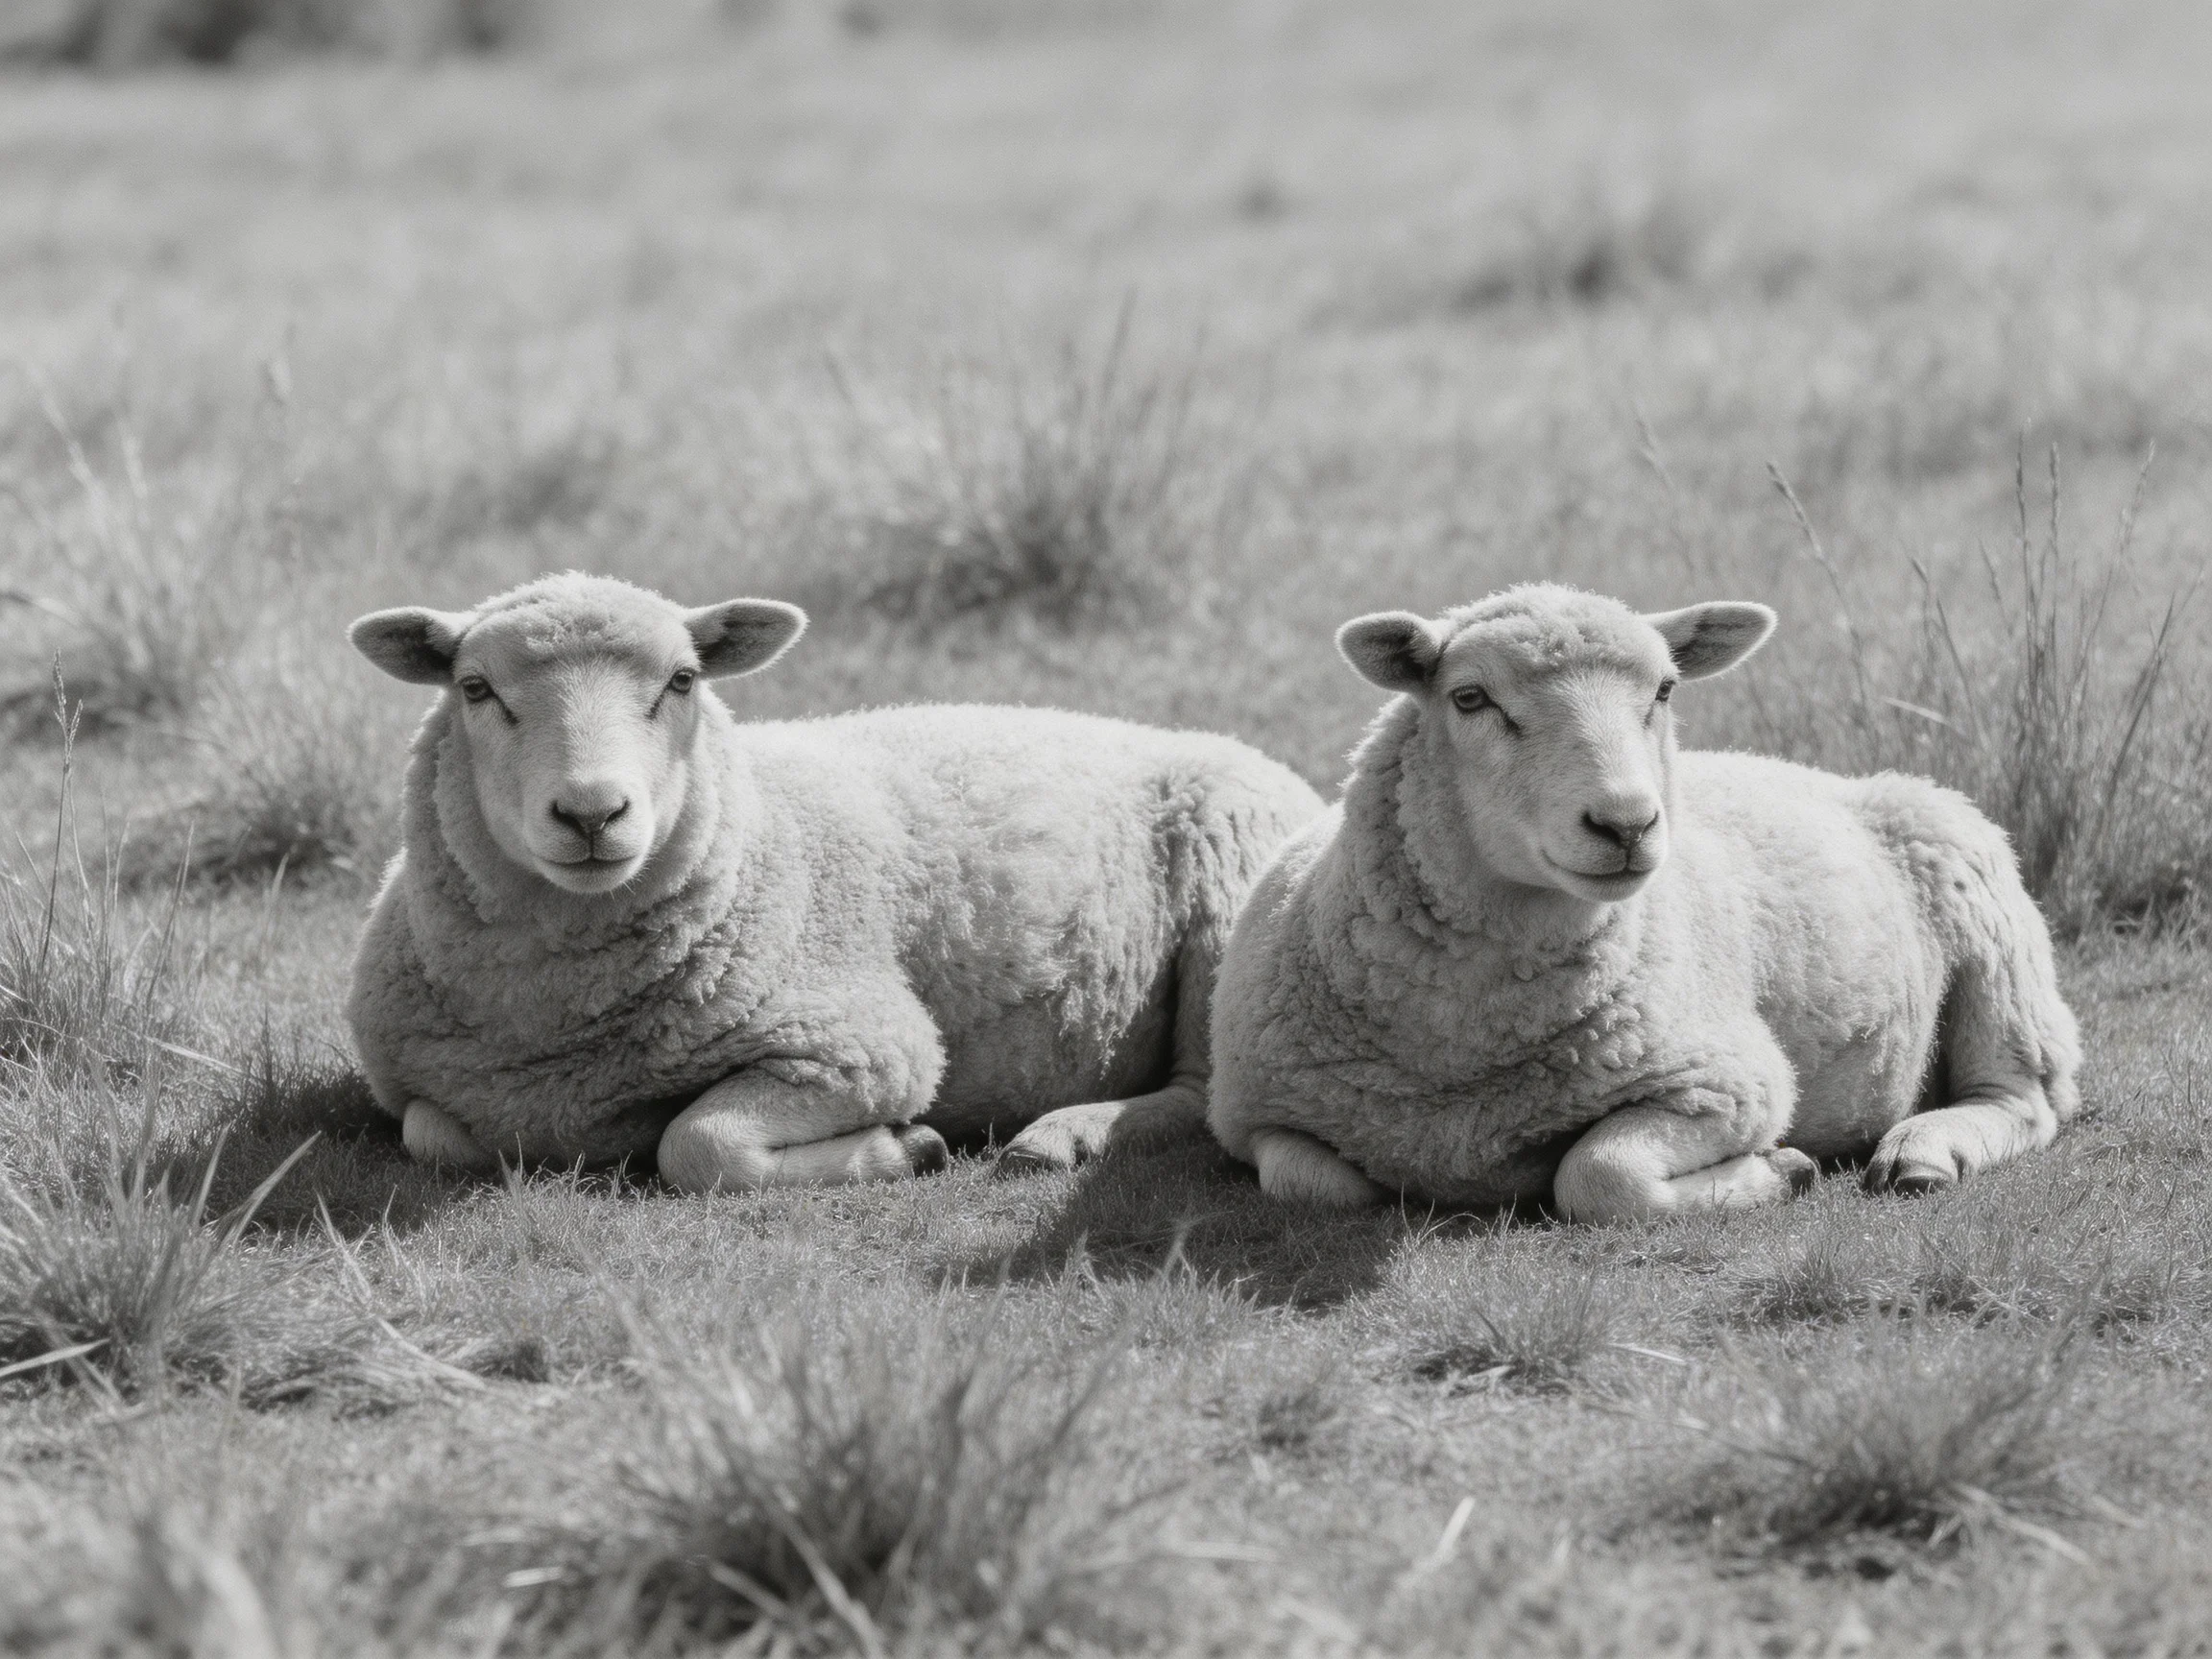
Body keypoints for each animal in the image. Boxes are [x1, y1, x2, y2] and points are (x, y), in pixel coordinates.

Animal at [345, 572, 1323, 1192]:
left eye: (683, 680)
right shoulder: (429, 1092)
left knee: (1203, 1095)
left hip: (1230, 917)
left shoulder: (864, 1045)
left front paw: (910, 1148)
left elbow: (698, 1147)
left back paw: (1062, 1137)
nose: (592, 813)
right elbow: (432, 1136)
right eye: (476, 688)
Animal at [1207, 583, 2081, 1222]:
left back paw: (1921, 1152)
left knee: (2023, 1096)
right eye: (1470, 698)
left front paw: (1781, 1170)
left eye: (1664, 689)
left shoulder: (1729, 1080)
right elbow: (1319, 1185)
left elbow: (1601, 1177)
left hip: (1993, 935)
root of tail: (1829, 774)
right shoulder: (1251, 1118)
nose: (1626, 823)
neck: (1461, 1056)